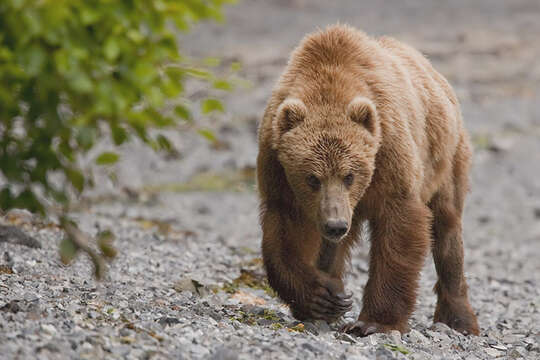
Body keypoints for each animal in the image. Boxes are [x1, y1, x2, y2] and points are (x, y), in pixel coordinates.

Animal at [255, 23, 478, 336]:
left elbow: (399, 228)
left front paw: (373, 322)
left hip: (446, 158)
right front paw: (321, 297)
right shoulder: (277, 168)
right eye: (312, 178)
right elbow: (286, 234)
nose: (335, 224)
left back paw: (459, 319)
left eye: (349, 175)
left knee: (447, 228)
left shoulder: (388, 150)